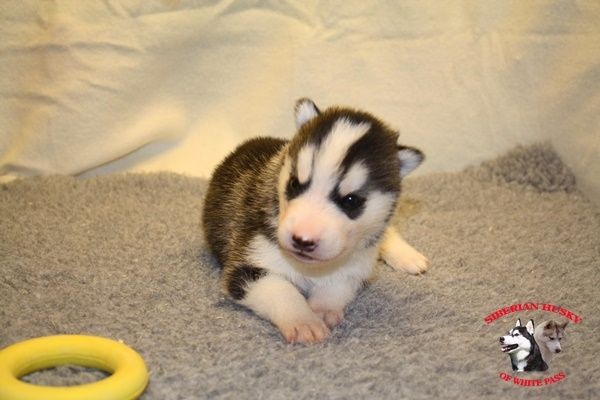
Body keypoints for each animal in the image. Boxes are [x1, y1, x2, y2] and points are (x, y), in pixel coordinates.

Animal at [202, 98, 428, 344]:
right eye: (293, 184)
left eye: (350, 201)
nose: (302, 240)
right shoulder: (247, 263)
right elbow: (281, 289)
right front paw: (303, 321)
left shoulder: (356, 266)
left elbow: (337, 286)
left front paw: (322, 309)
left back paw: (408, 256)